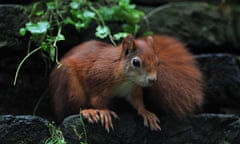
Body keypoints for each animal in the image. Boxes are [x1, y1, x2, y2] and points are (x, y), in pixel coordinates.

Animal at [49, 33, 203, 132]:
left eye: (158, 61)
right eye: (135, 62)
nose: (152, 80)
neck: (126, 80)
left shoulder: (133, 89)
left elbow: (137, 101)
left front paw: (146, 112)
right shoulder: (97, 79)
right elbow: (96, 98)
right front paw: (104, 111)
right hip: (69, 82)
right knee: (69, 110)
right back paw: (88, 111)